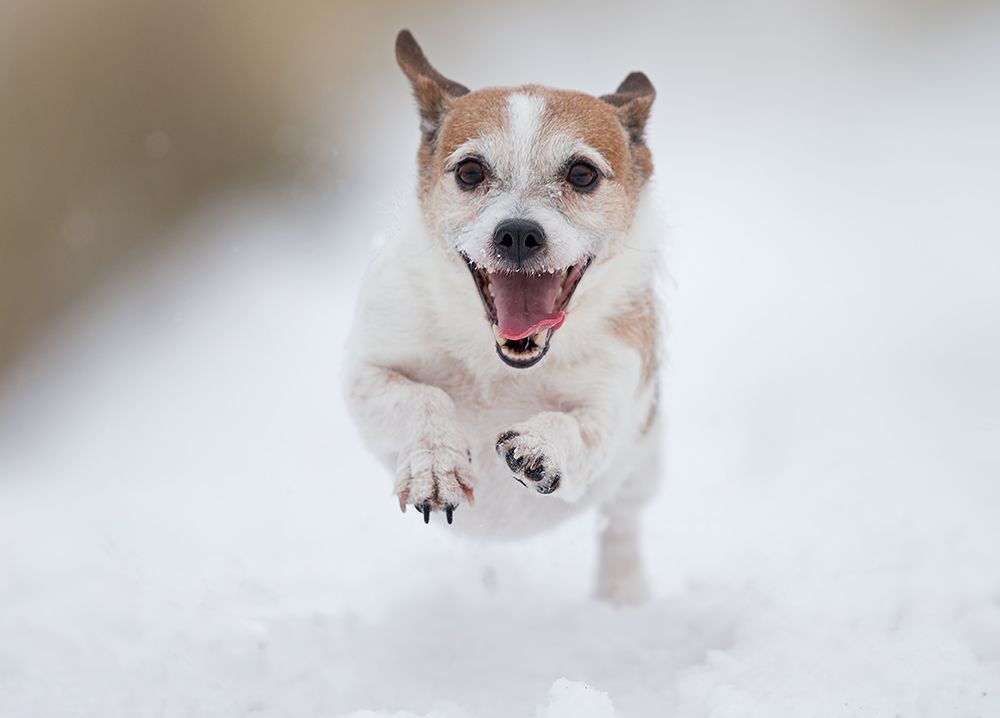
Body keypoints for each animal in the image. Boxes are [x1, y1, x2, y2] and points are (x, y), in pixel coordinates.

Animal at [344, 31, 664, 604]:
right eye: (471, 170)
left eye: (582, 173)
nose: (517, 233)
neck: (496, 365)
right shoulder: (367, 374)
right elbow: (423, 398)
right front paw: (436, 465)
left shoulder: (612, 406)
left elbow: (579, 428)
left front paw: (540, 445)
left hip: (643, 466)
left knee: (621, 523)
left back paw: (621, 590)